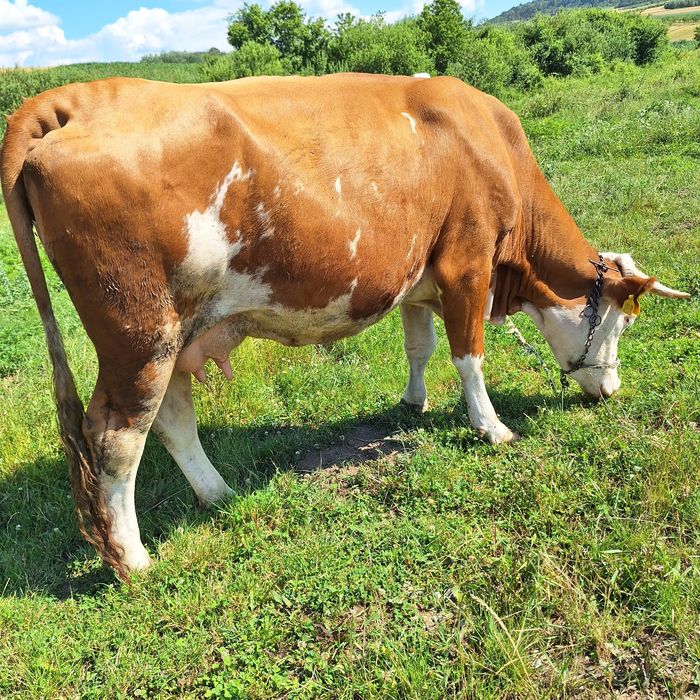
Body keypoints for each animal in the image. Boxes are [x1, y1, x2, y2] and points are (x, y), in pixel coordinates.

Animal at [1, 73, 689, 579]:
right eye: (621, 324)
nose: (612, 390)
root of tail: (75, 97)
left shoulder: (421, 274)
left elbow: (420, 344)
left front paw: (414, 400)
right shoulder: (468, 263)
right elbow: (468, 354)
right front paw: (491, 426)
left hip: (173, 335)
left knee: (169, 418)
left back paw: (218, 494)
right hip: (139, 335)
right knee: (116, 435)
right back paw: (134, 559)